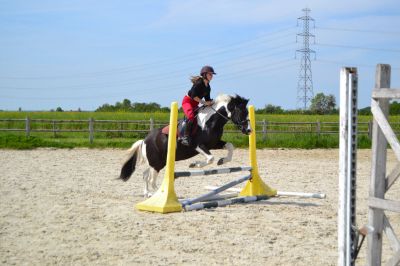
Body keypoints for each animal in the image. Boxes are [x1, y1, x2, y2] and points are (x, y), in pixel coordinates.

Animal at [118, 94, 250, 197]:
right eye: (242, 112)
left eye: (248, 112)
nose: (249, 130)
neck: (210, 121)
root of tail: (145, 140)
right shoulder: (197, 145)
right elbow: (210, 158)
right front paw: (195, 164)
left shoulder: (214, 143)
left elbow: (230, 146)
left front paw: (222, 161)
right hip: (156, 163)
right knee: (151, 179)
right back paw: (159, 195)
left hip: (158, 162)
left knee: (146, 175)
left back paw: (148, 193)